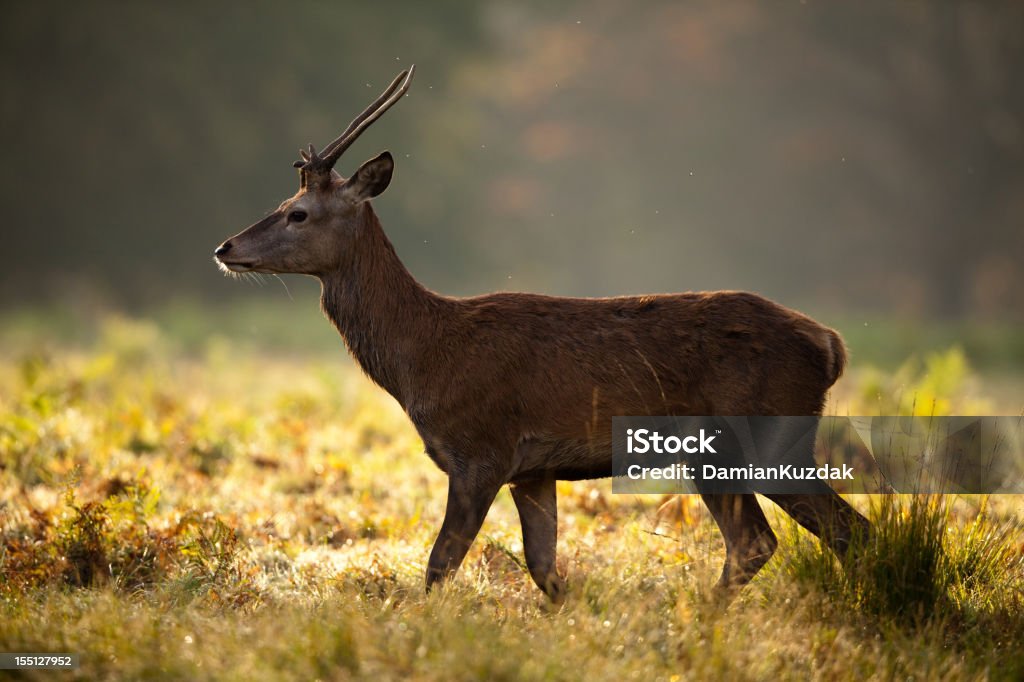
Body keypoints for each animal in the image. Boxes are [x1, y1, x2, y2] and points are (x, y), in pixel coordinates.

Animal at [214, 66, 870, 604]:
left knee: (811, 534)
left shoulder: (481, 450)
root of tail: (831, 345)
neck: (425, 355)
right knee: (774, 539)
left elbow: (439, 566)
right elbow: (545, 570)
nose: (226, 247)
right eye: (285, 200)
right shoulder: (534, 469)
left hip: (757, 437)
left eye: (298, 213)